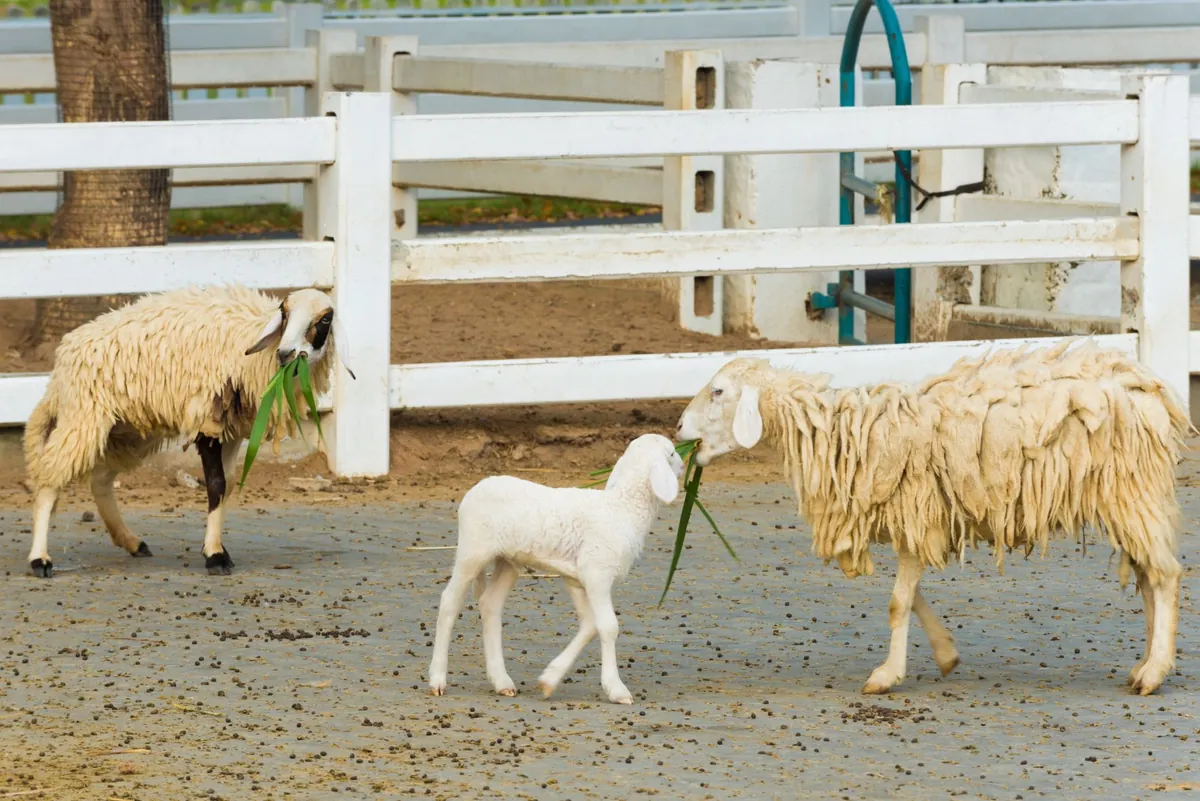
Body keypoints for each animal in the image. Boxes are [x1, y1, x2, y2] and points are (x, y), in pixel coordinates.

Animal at [22, 284, 353, 578]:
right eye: (284, 313)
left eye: (325, 319)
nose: (285, 353)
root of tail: (59, 367)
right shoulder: (207, 416)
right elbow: (216, 484)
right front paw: (215, 556)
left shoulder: (231, 429)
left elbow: (227, 485)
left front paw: (216, 547)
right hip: (83, 417)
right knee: (49, 480)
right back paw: (40, 559)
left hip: (126, 430)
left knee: (100, 480)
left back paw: (131, 542)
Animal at [427, 433, 685, 705]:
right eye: (671, 453)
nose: (683, 467)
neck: (622, 508)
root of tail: (475, 489)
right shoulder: (597, 573)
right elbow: (608, 626)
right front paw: (616, 689)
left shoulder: (578, 579)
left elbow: (590, 626)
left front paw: (550, 679)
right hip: (472, 550)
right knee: (449, 602)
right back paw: (437, 679)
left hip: (507, 560)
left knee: (490, 604)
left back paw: (502, 681)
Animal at [675, 338, 1190, 696]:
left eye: (718, 391)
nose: (678, 429)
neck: (845, 432)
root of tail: (1152, 390)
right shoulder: (919, 523)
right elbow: (910, 597)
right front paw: (945, 654)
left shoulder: (916, 511)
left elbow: (897, 602)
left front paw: (886, 675)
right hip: (1129, 496)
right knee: (1148, 576)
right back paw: (1145, 665)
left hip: (1130, 490)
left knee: (1164, 576)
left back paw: (1154, 672)